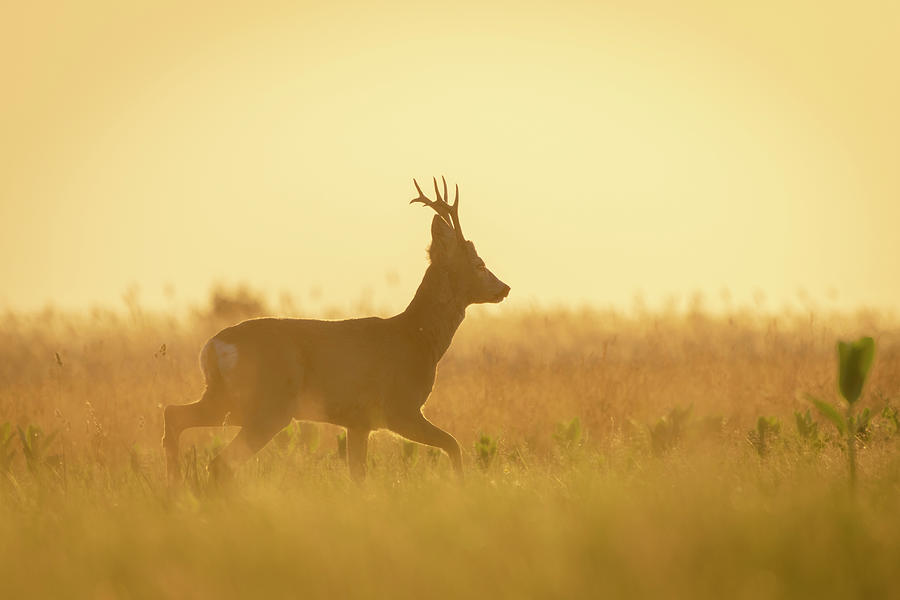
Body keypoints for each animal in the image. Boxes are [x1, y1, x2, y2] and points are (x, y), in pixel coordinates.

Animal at [163, 178, 510, 482]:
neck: (418, 338)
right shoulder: (399, 409)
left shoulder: (358, 422)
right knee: (220, 461)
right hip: (267, 405)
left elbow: (358, 476)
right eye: (479, 264)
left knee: (174, 414)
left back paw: (175, 490)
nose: (504, 288)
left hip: (228, 400)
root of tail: (213, 347)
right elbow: (454, 445)